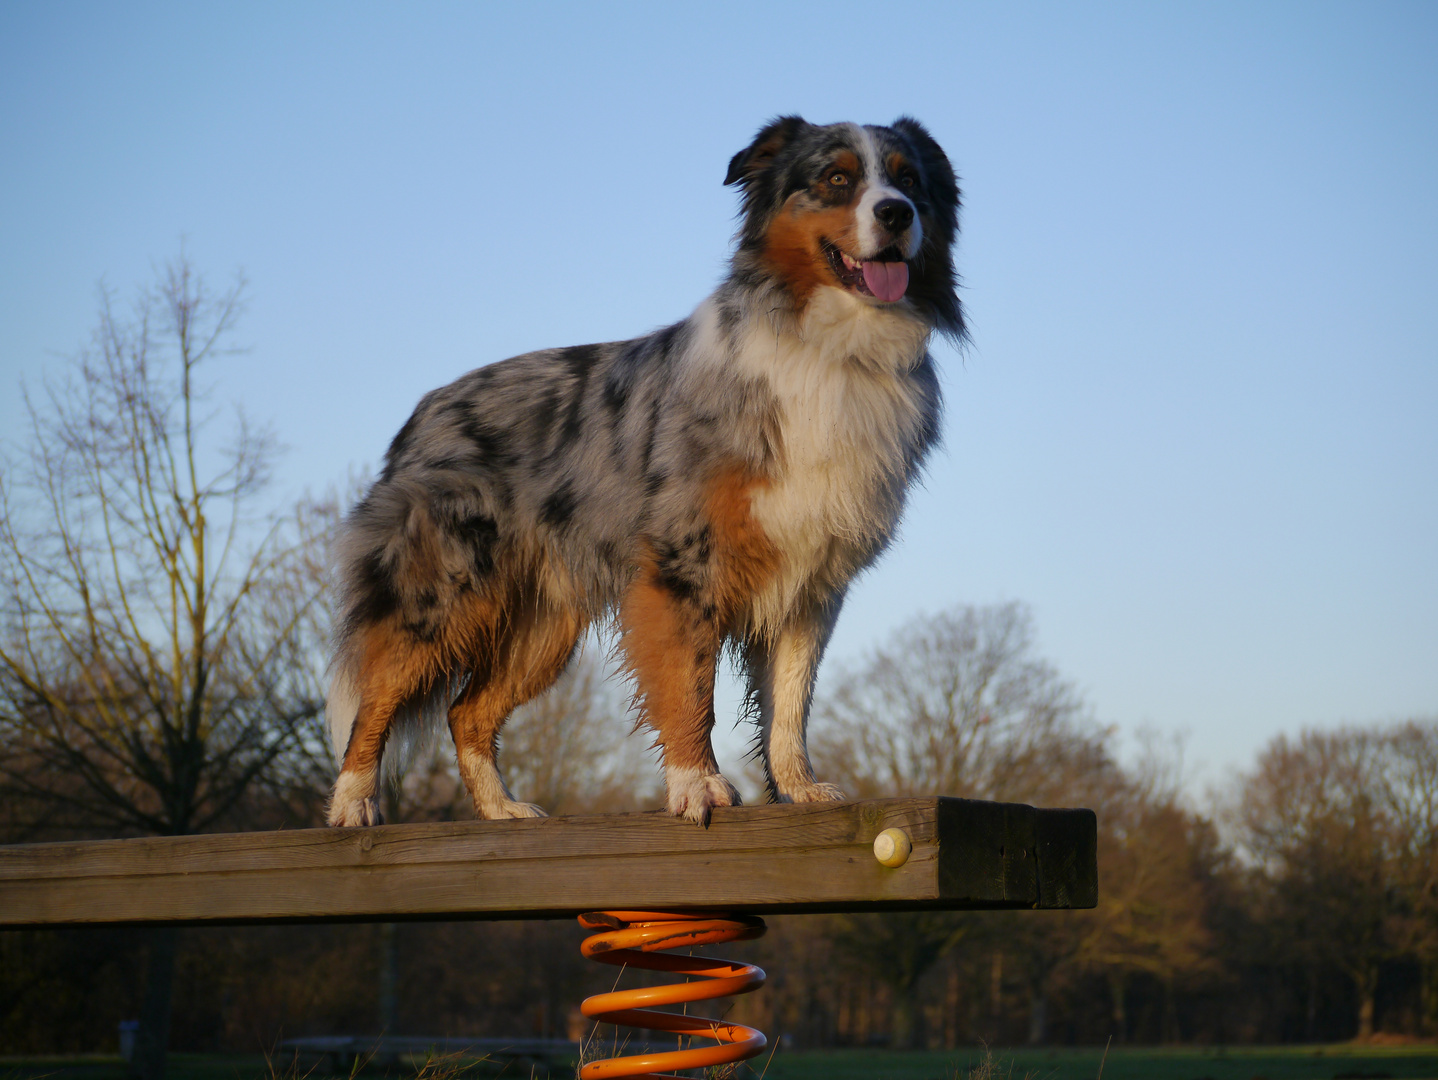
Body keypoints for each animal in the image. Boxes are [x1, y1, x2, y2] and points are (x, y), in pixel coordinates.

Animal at [329, 116, 966, 828]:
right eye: (837, 178)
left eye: (909, 180)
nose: (896, 213)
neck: (830, 350)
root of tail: (422, 413)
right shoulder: (683, 562)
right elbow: (691, 687)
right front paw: (698, 786)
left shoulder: (811, 582)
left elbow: (790, 702)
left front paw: (798, 788)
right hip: (444, 590)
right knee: (375, 694)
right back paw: (353, 804)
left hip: (542, 625)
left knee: (466, 711)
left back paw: (502, 811)